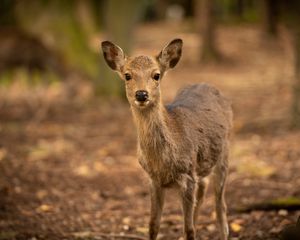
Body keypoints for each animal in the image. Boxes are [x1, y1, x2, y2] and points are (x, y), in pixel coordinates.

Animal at [101, 38, 232, 239]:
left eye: (156, 75)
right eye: (127, 75)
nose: (141, 94)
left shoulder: (187, 176)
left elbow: (189, 229)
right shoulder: (153, 180)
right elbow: (153, 225)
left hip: (224, 154)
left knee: (220, 206)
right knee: (204, 189)